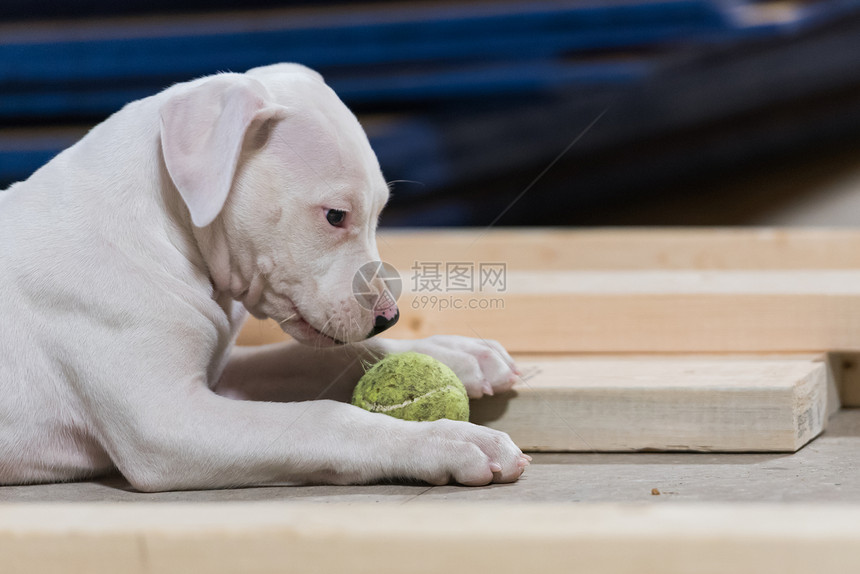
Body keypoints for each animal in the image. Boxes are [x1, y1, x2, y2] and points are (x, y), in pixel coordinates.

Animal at [0, 64, 528, 496]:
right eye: (335, 216)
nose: (389, 318)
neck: (163, 221)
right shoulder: (166, 422)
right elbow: (324, 417)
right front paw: (449, 439)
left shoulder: (221, 372)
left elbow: (306, 357)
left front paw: (455, 353)